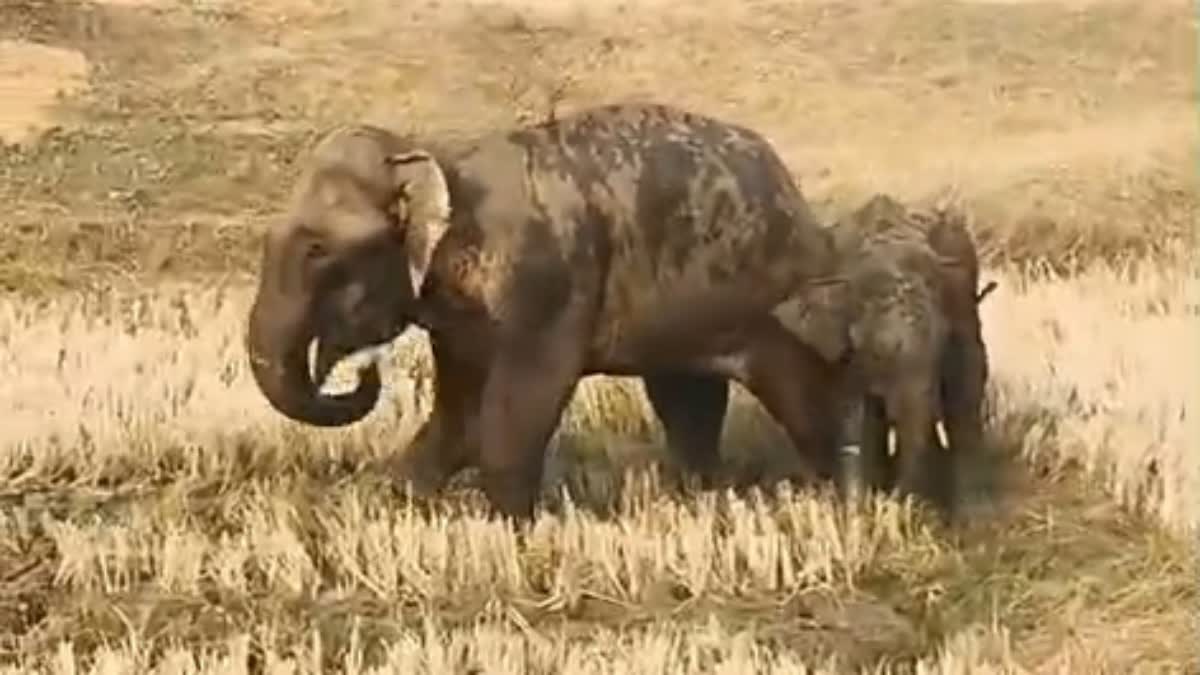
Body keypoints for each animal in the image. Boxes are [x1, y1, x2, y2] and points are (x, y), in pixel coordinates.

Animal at [245, 102, 848, 520]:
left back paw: (835, 492)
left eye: (318, 250)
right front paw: (399, 501)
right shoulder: (460, 320)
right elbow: (459, 412)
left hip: (781, 306)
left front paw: (510, 526)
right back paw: (699, 495)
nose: (363, 370)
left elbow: (524, 403)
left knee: (803, 398)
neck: (436, 157)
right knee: (686, 399)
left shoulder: (545, 289)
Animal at [774, 193, 993, 517]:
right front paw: (858, 512)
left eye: (942, 341)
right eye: (878, 352)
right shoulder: (841, 353)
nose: (895, 500)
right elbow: (853, 414)